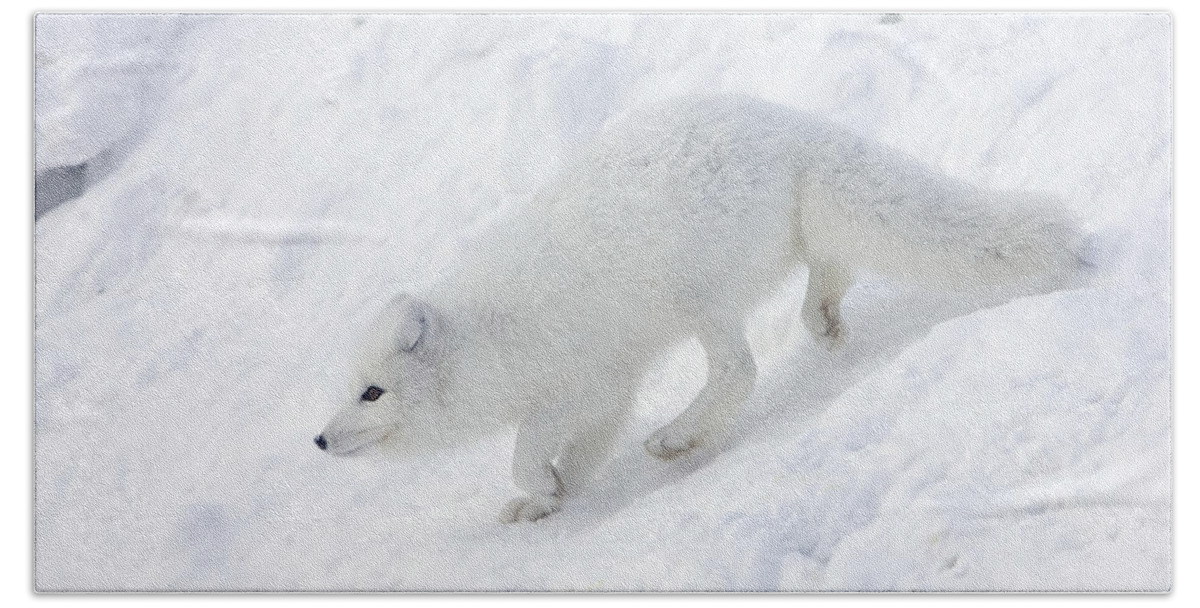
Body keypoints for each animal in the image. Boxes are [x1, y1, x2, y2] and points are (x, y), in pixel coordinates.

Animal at [314, 95, 1094, 522]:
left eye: (371, 392)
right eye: (343, 389)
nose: (318, 441)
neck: (487, 339)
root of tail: (792, 127)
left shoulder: (584, 380)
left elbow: (526, 446)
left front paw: (539, 484)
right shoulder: (608, 390)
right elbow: (581, 455)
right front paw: (548, 500)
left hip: (698, 297)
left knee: (738, 371)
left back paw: (679, 438)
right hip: (789, 245)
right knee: (831, 265)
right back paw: (823, 322)